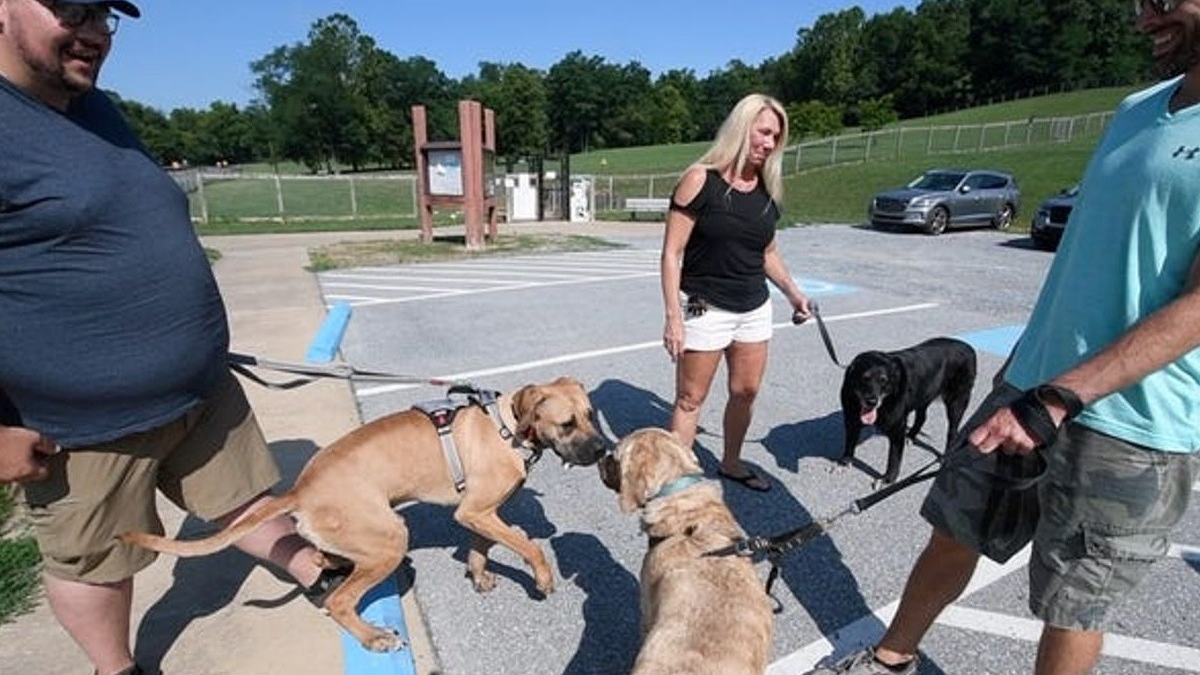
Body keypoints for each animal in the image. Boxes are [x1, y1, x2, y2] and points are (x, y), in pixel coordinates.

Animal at [123, 374, 609, 648]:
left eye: (592, 414)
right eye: (567, 424)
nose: (604, 450)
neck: (506, 425)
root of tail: (301, 490)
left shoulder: (480, 512)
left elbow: (481, 547)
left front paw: (479, 575)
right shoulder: (477, 511)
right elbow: (528, 545)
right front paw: (542, 579)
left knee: (323, 557)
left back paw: (330, 564)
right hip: (390, 538)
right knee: (339, 602)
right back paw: (373, 637)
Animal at [840, 336, 979, 482]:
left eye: (883, 380)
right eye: (864, 378)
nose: (872, 402)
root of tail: (969, 347)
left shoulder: (897, 429)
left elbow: (894, 457)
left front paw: (888, 479)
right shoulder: (851, 420)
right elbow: (849, 442)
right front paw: (845, 462)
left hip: (957, 402)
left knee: (953, 431)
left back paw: (945, 456)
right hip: (924, 395)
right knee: (922, 418)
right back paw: (911, 436)